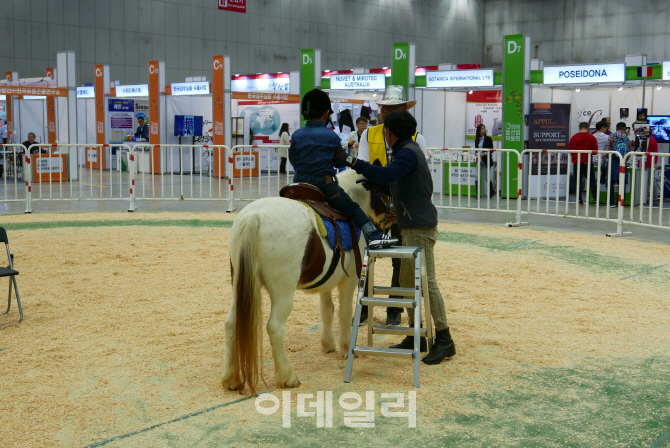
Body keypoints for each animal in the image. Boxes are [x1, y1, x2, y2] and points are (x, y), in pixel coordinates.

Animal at [223, 170, 386, 394]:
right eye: (381, 188)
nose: (390, 215)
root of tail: (254, 216)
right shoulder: (350, 280)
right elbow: (344, 313)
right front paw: (346, 349)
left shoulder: (327, 282)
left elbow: (327, 309)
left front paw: (328, 345)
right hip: (283, 290)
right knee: (275, 327)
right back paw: (287, 377)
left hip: (237, 283)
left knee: (231, 322)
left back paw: (231, 378)